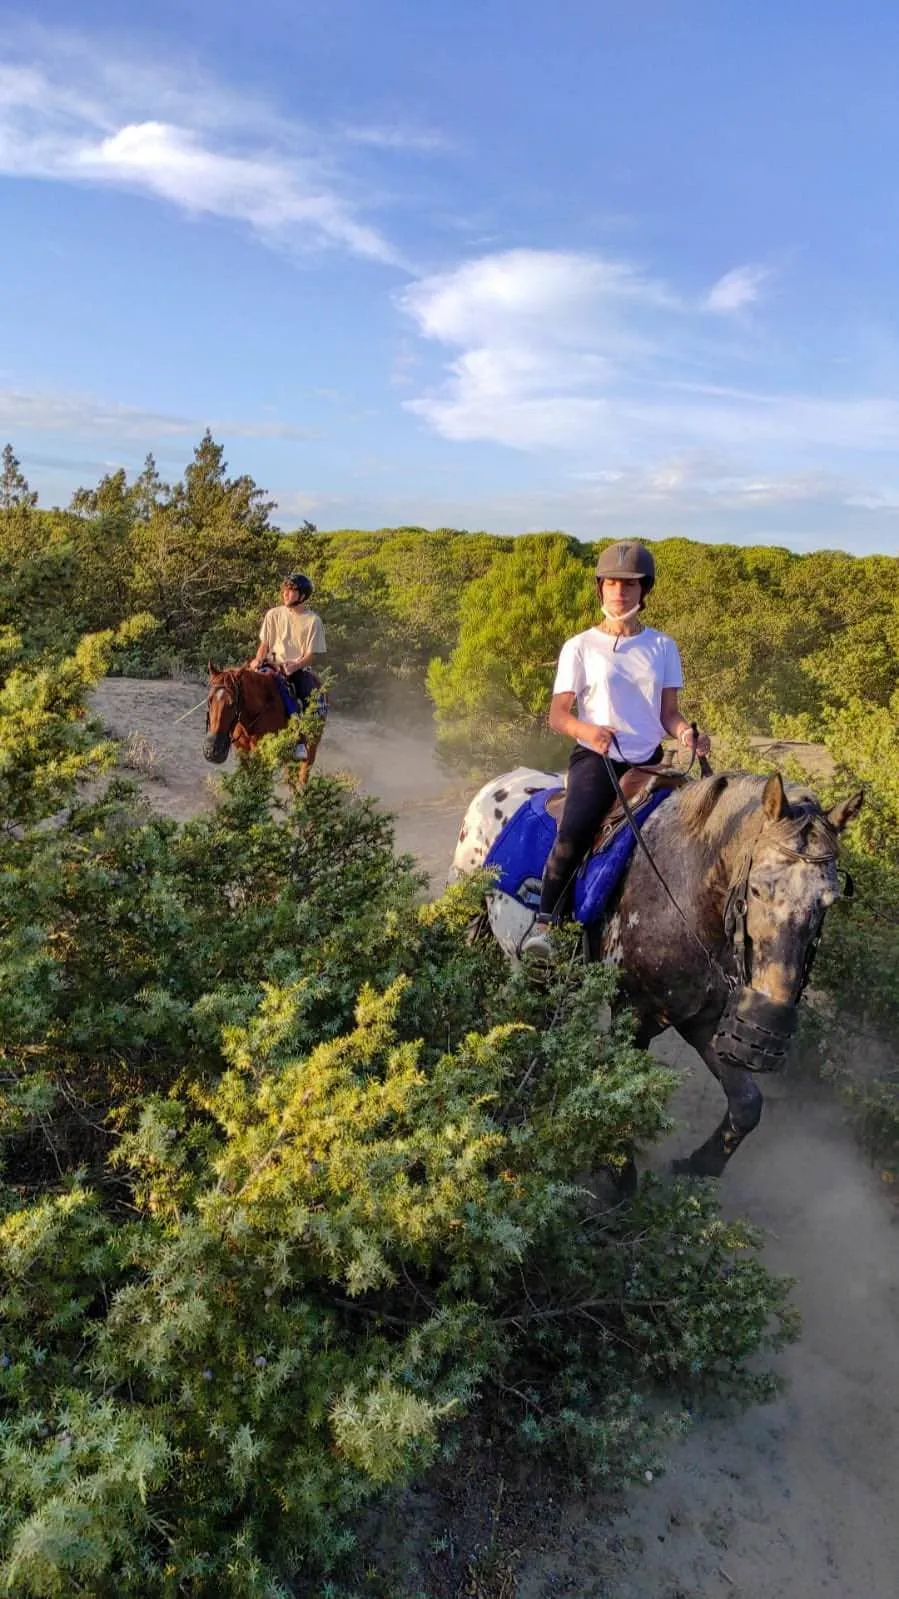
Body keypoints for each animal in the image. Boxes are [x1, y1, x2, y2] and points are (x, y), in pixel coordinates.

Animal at [451, 764, 863, 1178]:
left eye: (827, 901)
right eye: (759, 889)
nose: (767, 1026)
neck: (685, 894)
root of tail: (501, 782)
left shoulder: (703, 1020)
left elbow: (747, 1103)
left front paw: (700, 1167)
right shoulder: (633, 1015)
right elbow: (624, 1100)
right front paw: (618, 1180)